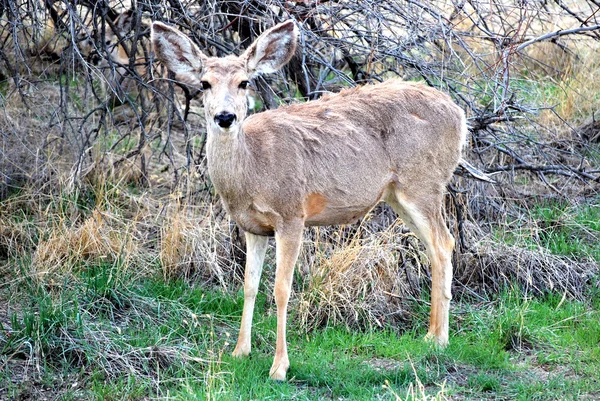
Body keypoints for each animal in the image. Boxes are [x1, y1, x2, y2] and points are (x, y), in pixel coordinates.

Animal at [150, 19, 468, 382]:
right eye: (204, 83)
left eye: (244, 82)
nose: (226, 117)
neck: (253, 169)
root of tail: (460, 114)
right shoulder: (253, 227)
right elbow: (249, 285)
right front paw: (240, 351)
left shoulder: (291, 215)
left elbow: (281, 289)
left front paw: (279, 367)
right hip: (398, 194)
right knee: (436, 245)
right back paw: (430, 335)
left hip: (423, 183)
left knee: (443, 242)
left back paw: (440, 339)